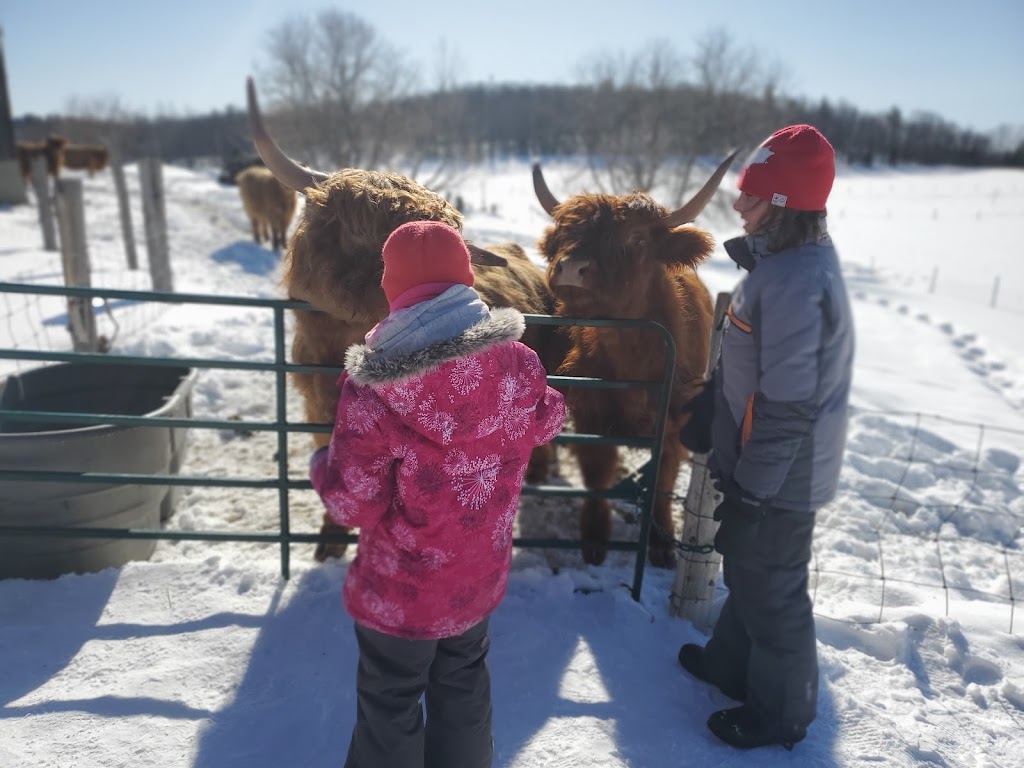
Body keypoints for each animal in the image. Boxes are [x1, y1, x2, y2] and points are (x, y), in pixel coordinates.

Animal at [536, 151, 737, 573]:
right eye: (561, 235)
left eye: (637, 239)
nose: (571, 268)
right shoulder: (592, 416)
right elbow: (597, 477)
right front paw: (595, 540)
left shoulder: (675, 424)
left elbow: (661, 484)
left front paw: (661, 544)